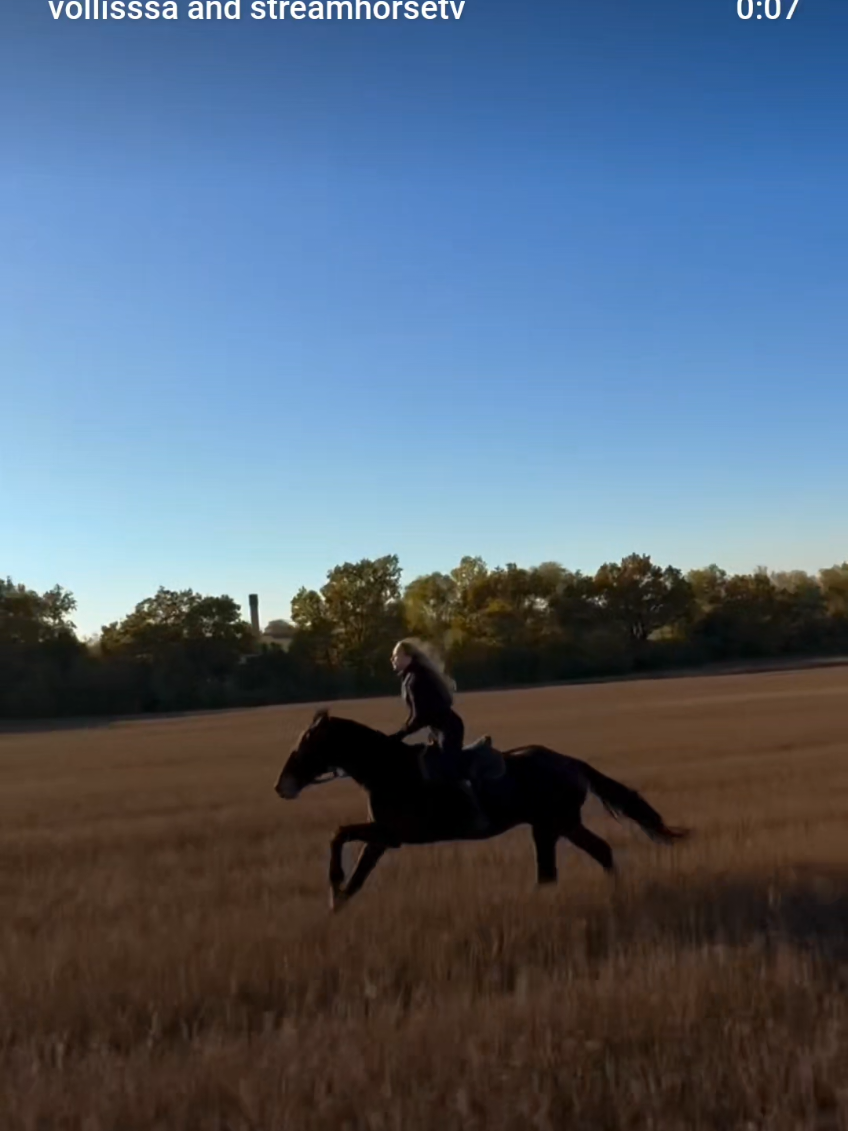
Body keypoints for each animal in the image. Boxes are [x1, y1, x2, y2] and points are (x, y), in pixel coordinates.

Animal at [274, 708, 687, 911]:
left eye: (308, 743)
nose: (282, 785)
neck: (389, 769)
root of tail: (571, 763)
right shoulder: (382, 838)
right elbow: (357, 875)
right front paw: (336, 904)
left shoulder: (394, 834)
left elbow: (338, 834)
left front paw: (333, 883)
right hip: (555, 825)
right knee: (585, 858)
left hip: (553, 824)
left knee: (570, 864)